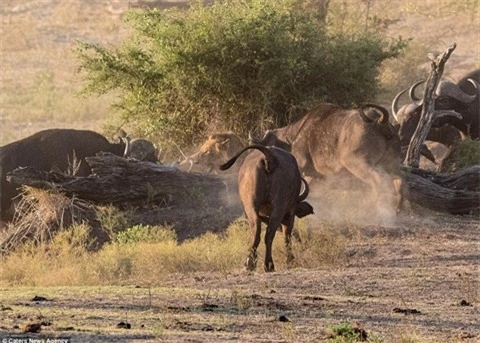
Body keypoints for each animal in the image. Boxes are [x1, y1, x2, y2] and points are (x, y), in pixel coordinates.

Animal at [220, 144, 314, 272]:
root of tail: (269, 155)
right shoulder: (290, 212)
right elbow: (287, 236)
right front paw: (290, 260)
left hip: (251, 205)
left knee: (257, 229)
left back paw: (251, 263)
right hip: (278, 206)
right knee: (269, 233)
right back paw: (269, 264)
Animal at [251, 103, 404, 214]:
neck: (295, 136)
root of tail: (379, 122)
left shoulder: (302, 169)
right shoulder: (315, 175)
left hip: (359, 165)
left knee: (378, 180)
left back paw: (372, 206)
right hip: (392, 165)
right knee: (399, 181)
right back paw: (397, 209)